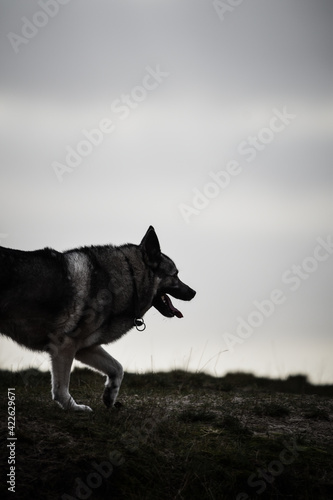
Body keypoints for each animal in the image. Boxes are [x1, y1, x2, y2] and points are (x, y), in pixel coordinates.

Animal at [0, 227, 195, 410]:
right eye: (175, 275)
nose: (194, 292)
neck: (130, 277)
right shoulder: (65, 345)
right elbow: (61, 387)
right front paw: (73, 408)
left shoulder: (85, 348)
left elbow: (117, 368)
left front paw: (110, 395)